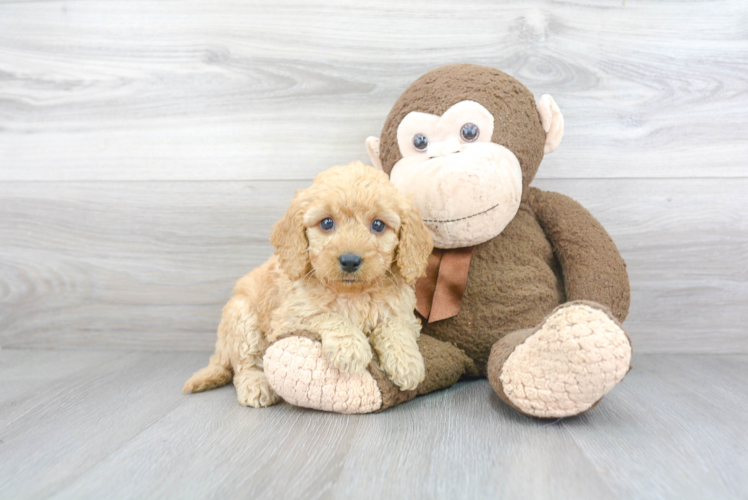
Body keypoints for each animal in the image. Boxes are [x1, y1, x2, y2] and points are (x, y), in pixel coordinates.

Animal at [183, 162, 432, 408]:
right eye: (327, 223)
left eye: (378, 225)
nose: (350, 260)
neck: (352, 293)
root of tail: (219, 351)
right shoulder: (288, 318)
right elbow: (326, 315)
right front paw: (350, 347)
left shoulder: (403, 313)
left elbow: (395, 325)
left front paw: (407, 362)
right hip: (242, 315)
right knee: (245, 363)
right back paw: (256, 384)